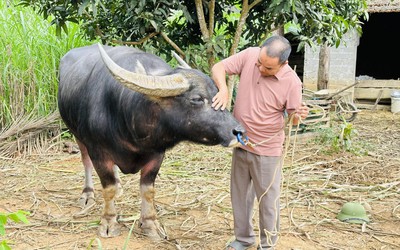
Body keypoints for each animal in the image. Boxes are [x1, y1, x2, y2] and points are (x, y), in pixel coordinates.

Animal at [57, 44, 244, 239]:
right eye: (196, 99)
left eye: (218, 94)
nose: (238, 131)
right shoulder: (98, 152)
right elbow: (108, 189)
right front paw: (108, 222)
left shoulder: (157, 155)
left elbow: (147, 190)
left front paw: (150, 224)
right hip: (76, 134)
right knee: (85, 161)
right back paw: (87, 194)